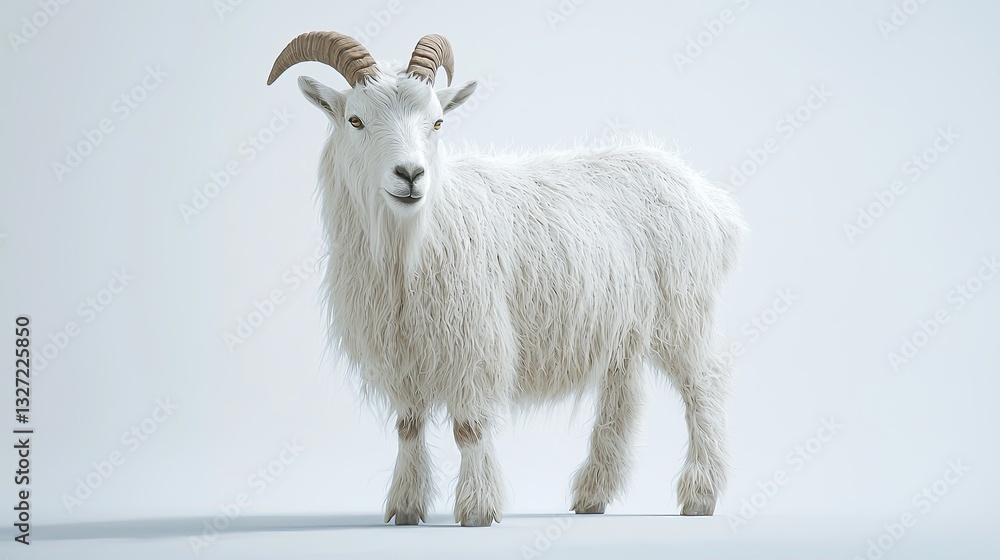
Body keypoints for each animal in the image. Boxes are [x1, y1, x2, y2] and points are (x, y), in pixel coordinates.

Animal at [267, 31, 746, 527]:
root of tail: (709, 199)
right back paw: (593, 495)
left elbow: (469, 428)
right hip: (623, 329)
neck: (416, 241)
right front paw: (406, 506)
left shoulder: (474, 341)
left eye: (437, 122)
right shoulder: (401, 352)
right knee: (622, 400)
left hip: (684, 312)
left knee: (704, 387)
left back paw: (700, 494)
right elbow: (408, 426)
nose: (411, 175)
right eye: (356, 120)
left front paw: (477, 508)